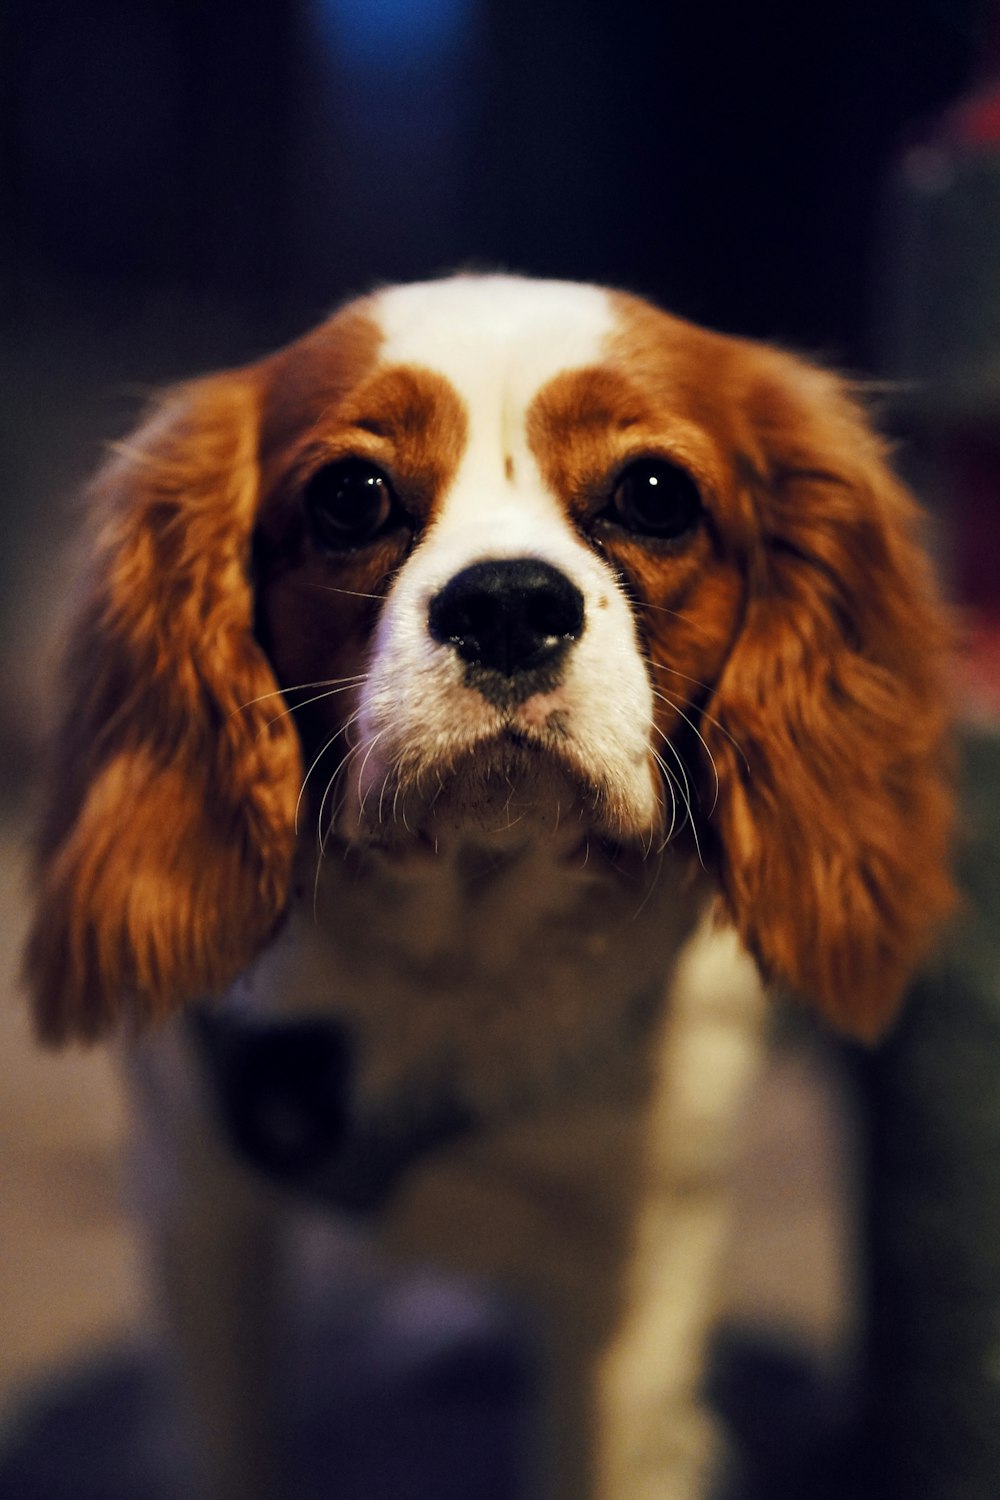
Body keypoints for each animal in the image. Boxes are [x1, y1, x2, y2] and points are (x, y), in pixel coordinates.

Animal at [25, 273, 953, 1500]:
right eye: (352, 495)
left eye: (654, 494)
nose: (508, 602)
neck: (462, 947)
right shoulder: (200, 1206)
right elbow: (225, 1444)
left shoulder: (637, 1256)